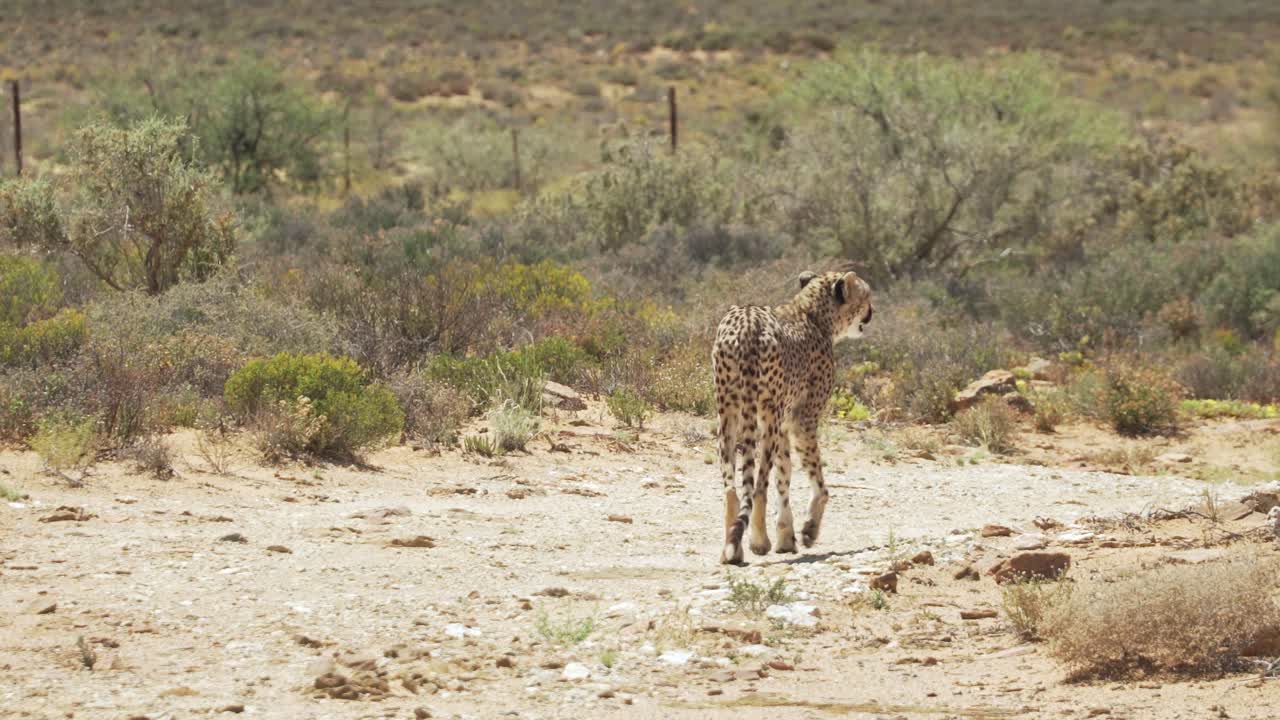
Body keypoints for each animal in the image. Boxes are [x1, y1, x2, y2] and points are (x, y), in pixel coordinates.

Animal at [711, 268, 874, 565]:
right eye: (866, 295)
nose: (871, 311)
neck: (813, 314)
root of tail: (747, 321)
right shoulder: (802, 421)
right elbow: (817, 482)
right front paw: (809, 530)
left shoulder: (786, 426)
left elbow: (784, 476)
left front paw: (786, 537)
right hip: (767, 415)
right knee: (758, 486)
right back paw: (758, 542)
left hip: (727, 413)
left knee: (731, 488)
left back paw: (732, 548)